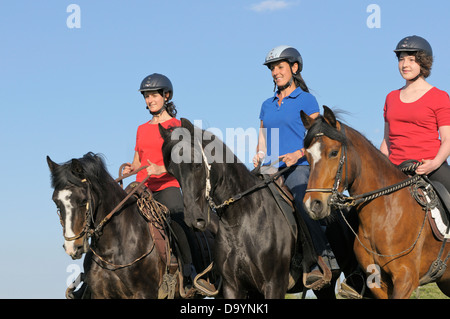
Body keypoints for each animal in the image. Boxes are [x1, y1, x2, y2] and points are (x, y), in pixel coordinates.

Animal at [46, 152, 212, 300]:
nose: (72, 247)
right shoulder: (99, 294)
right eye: (56, 202)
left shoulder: (144, 293)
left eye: (83, 200)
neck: (113, 249)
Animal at [158, 118, 342, 300]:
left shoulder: (274, 284)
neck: (242, 219)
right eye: (172, 172)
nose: (193, 219)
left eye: (196, 164)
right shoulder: (234, 287)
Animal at [300, 105, 450, 300]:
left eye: (333, 152)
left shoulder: (405, 278)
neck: (384, 215)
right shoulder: (377, 281)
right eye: (308, 156)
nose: (313, 205)